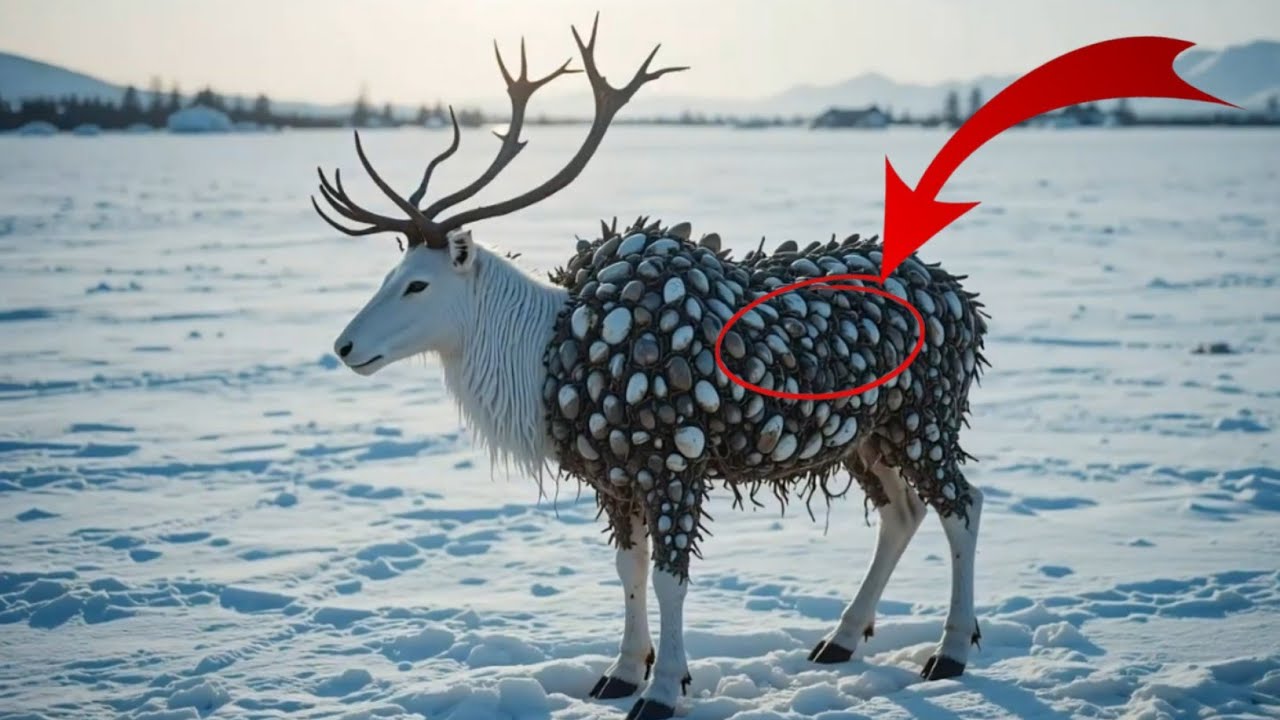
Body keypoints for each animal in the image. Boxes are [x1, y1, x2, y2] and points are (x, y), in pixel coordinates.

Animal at [315, 16, 989, 720]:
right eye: (390, 272)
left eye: (417, 284)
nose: (344, 347)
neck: (540, 359)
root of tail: (967, 304)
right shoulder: (615, 478)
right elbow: (629, 572)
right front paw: (620, 672)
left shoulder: (674, 462)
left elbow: (670, 579)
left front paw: (663, 686)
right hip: (866, 435)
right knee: (902, 512)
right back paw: (842, 637)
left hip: (927, 415)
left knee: (964, 504)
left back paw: (951, 649)